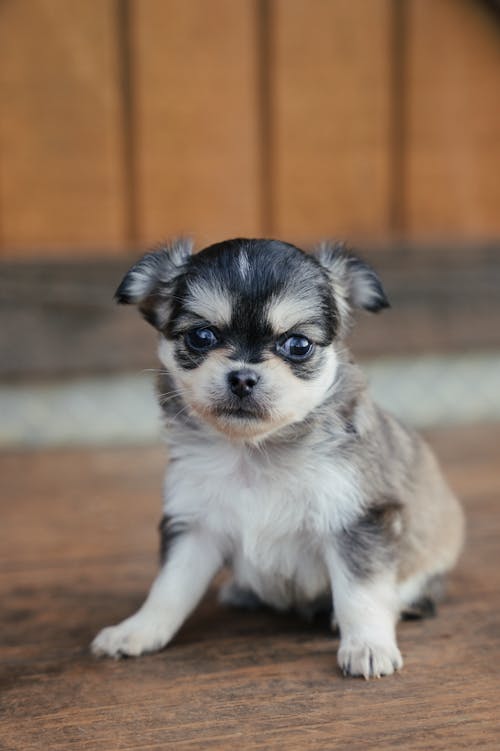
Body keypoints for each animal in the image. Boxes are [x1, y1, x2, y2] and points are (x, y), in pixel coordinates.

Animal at [91, 238, 464, 680]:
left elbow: (361, 594)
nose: (242, 377)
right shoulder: (195, 526)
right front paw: (138, 631)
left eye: (297, 345)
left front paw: (368, 645)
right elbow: (169, 588)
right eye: (202, 336)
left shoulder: (355, 521)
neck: (254, 453)